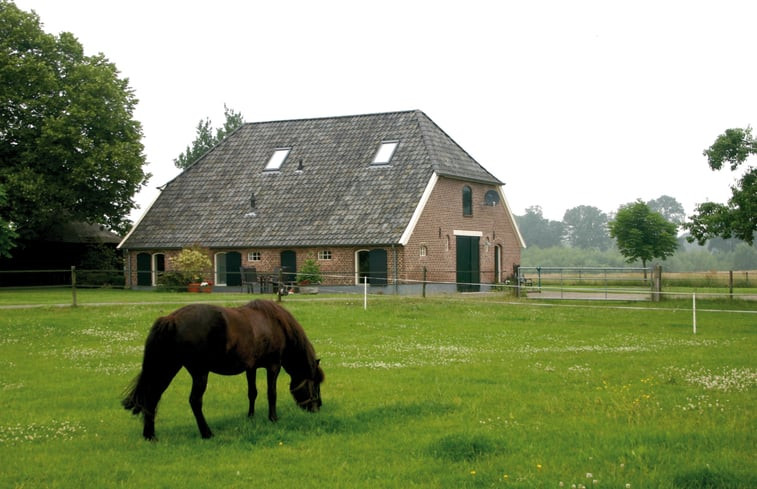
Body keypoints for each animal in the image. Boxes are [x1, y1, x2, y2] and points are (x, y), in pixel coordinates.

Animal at [122, 298, 324, 438]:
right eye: (315, 384)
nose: (317, 408)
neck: (274, 324)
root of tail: (172, 319)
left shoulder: (251, 368)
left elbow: (252, 392)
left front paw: (251, 416)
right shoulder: (273, 366)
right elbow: (271, 393)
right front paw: (273, 418)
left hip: (167, 368)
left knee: (152, 396)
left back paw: (150, 435)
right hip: (199, 373)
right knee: (194, 401)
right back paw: (206, 433)